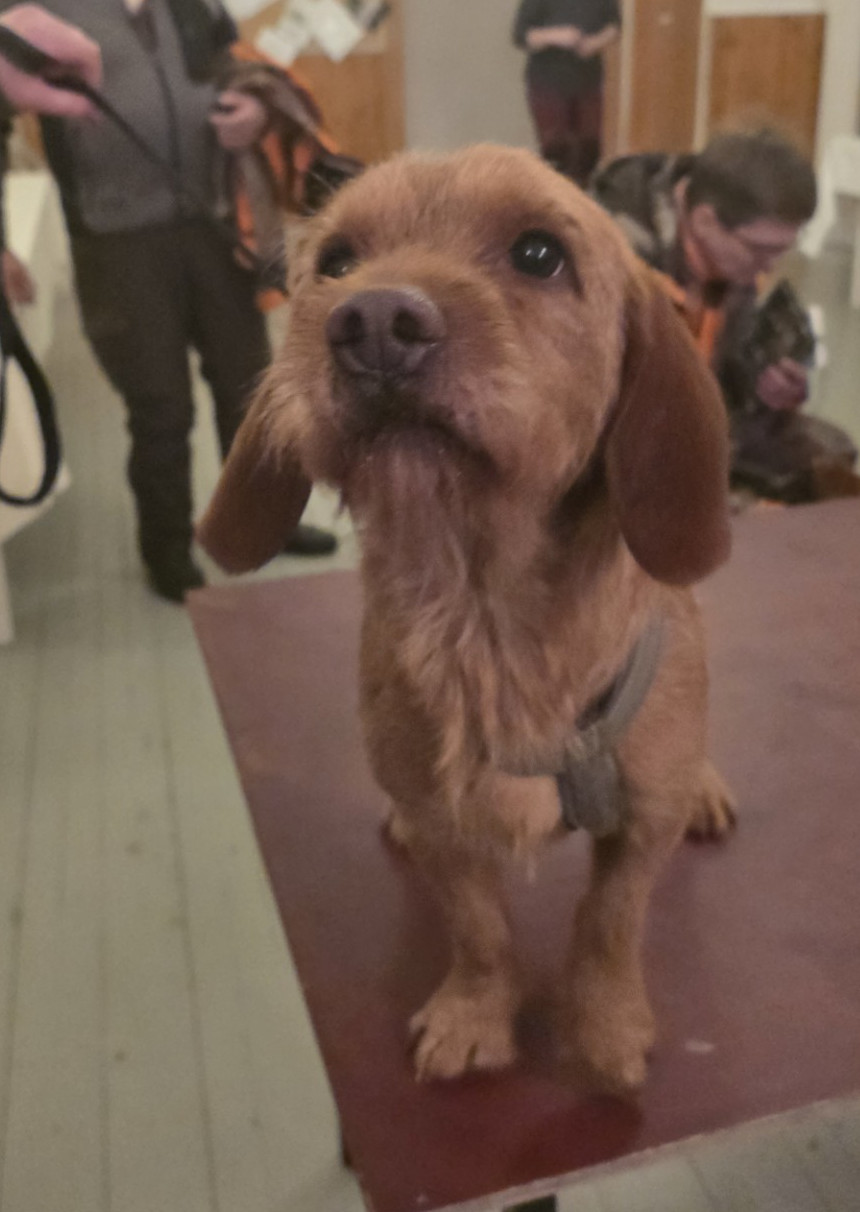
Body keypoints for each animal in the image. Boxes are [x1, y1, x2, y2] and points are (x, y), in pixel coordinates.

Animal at [198, 144, 736, 1093]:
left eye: (539, 253)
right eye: (336, 262)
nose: (372, 319)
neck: (483, 615)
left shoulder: (639, 833)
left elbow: (610, 921)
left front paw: (604, 1026)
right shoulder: (448, 837)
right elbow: (479, 931)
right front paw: (477, 1015)